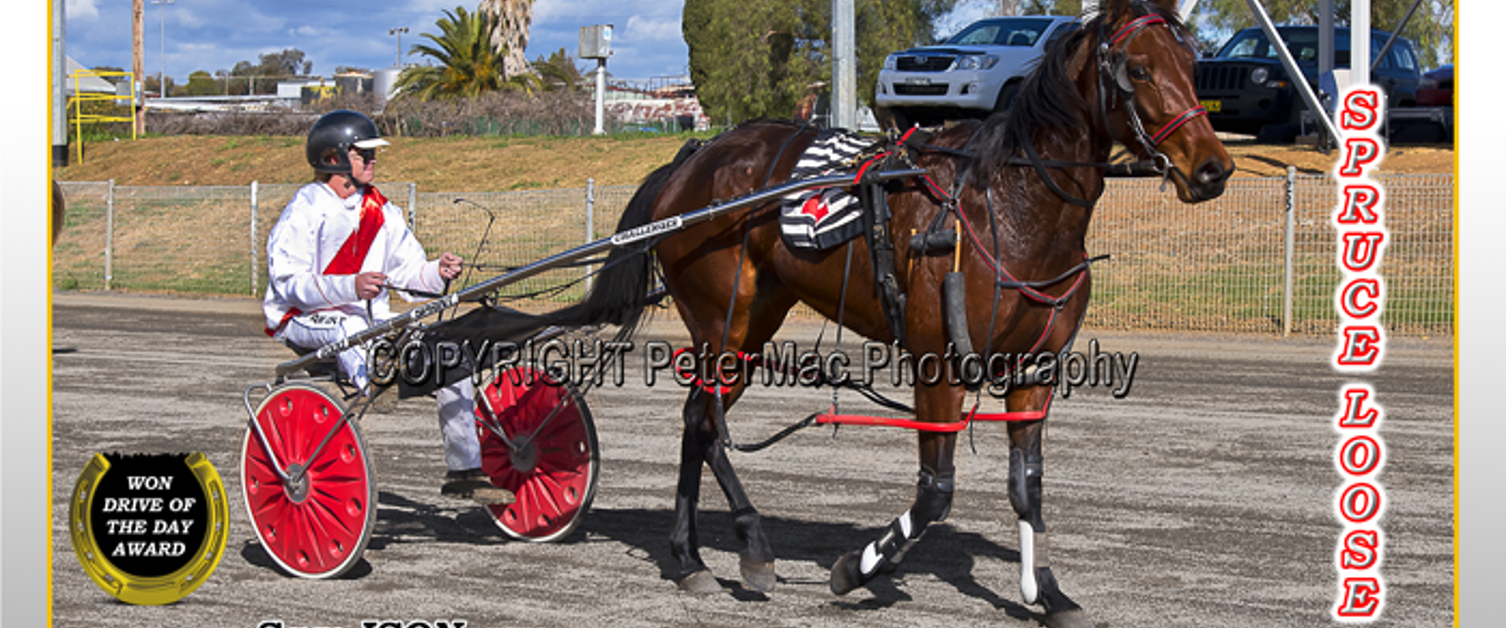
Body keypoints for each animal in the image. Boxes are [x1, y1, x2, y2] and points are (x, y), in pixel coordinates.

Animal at [512, 0, 1228, 620]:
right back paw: (752, 546)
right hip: (723, 320)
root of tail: (693, 160)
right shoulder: (938, 363)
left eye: (1192, 67)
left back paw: (690, 560)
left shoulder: (1035, 371)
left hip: (753, 324)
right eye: (1138, 70)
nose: (1213, 168)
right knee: (708, 423)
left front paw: (1046, 593)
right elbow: (935, 491)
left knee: (697, 421)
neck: (1009, 207)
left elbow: (1027, 485)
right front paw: (856, 569)